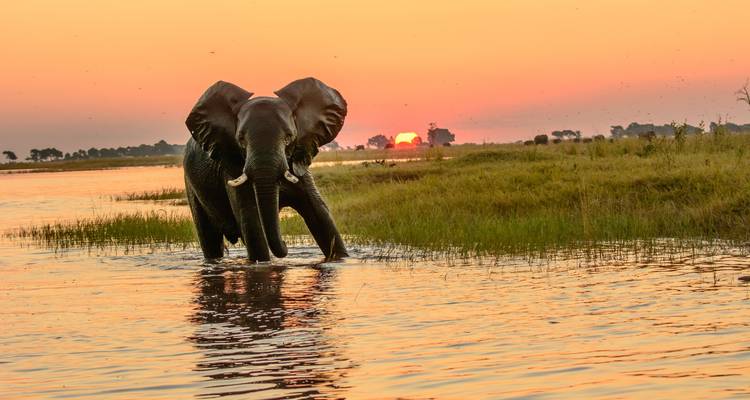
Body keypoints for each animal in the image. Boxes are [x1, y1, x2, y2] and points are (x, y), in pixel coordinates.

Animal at [183, 77, 348, 262]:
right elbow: (251, 220)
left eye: (289, 137)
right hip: (191, 185)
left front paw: (340, 259)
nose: (285, 244)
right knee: (209, 238)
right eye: (241, 139)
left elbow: (320, 214)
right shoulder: (232, 166)